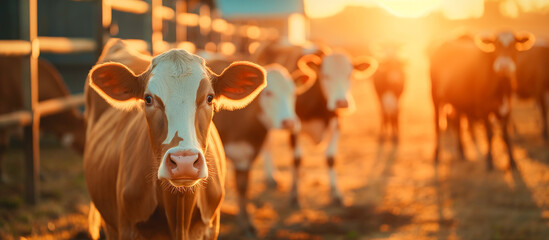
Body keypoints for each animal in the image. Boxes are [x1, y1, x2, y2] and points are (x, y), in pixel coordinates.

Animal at [209, 59, 312, 234]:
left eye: (293, 92)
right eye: (268, 93)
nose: (289, 122)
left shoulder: (245, 155)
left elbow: (243, 188)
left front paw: (247, 224)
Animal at [430, 31, 532, 170]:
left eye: (514, 45)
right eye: (496, 45)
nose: (504, 65)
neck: (501, 87)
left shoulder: (506, 109)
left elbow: (506, 135)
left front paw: (512, 161)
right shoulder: (485, 109)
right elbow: (489, 134)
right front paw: (489, 161)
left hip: (458, 101)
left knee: (457, 124)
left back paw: (462, 152)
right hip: (435, 96)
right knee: (437, 125)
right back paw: (436, 154)